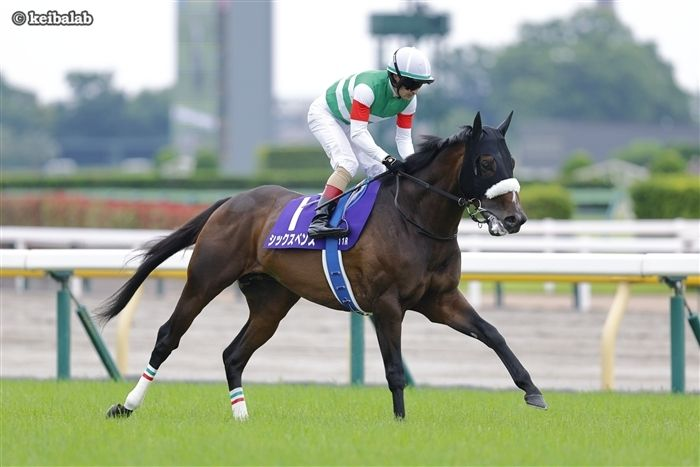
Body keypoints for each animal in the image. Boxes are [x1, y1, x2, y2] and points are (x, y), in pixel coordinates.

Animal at [100, 111, 547, 420]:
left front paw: (533, 391)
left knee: (233, 354)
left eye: (511, 161)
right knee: (168, 336)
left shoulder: (440, 300)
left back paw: (241, 416)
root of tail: (230, 201)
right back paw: (126, 405)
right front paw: (400, 423)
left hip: (271, 300)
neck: (414, 219)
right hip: (205, 279)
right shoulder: (387, 305)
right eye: (486, 163)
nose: (515, 219)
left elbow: (492, 334)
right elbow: (394, 369)